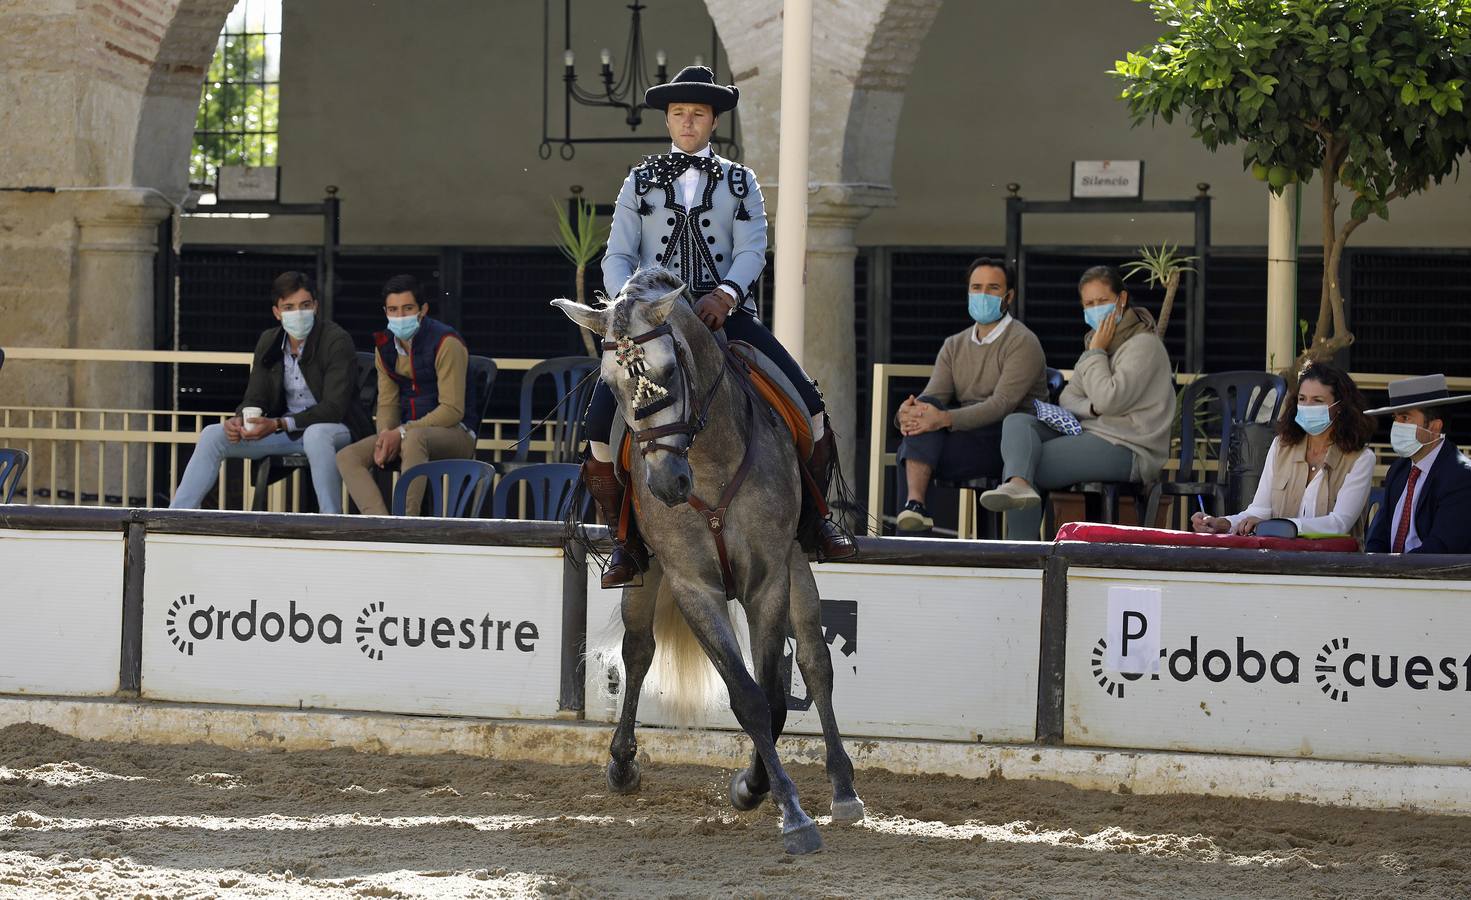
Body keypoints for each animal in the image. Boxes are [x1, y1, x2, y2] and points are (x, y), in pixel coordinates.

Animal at [558, 264, 859, 852]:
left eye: (670, 371)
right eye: (612, 384)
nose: (665, 484)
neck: (710, 462)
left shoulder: (768, 579)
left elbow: (774, 696)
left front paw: (768, 794)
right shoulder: (693, 585)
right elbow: (748, 697)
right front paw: (771, 799)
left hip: (798, 565)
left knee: (816, 663)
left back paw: (843, 787)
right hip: (645, 574)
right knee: (638, 652)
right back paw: (622, 765)